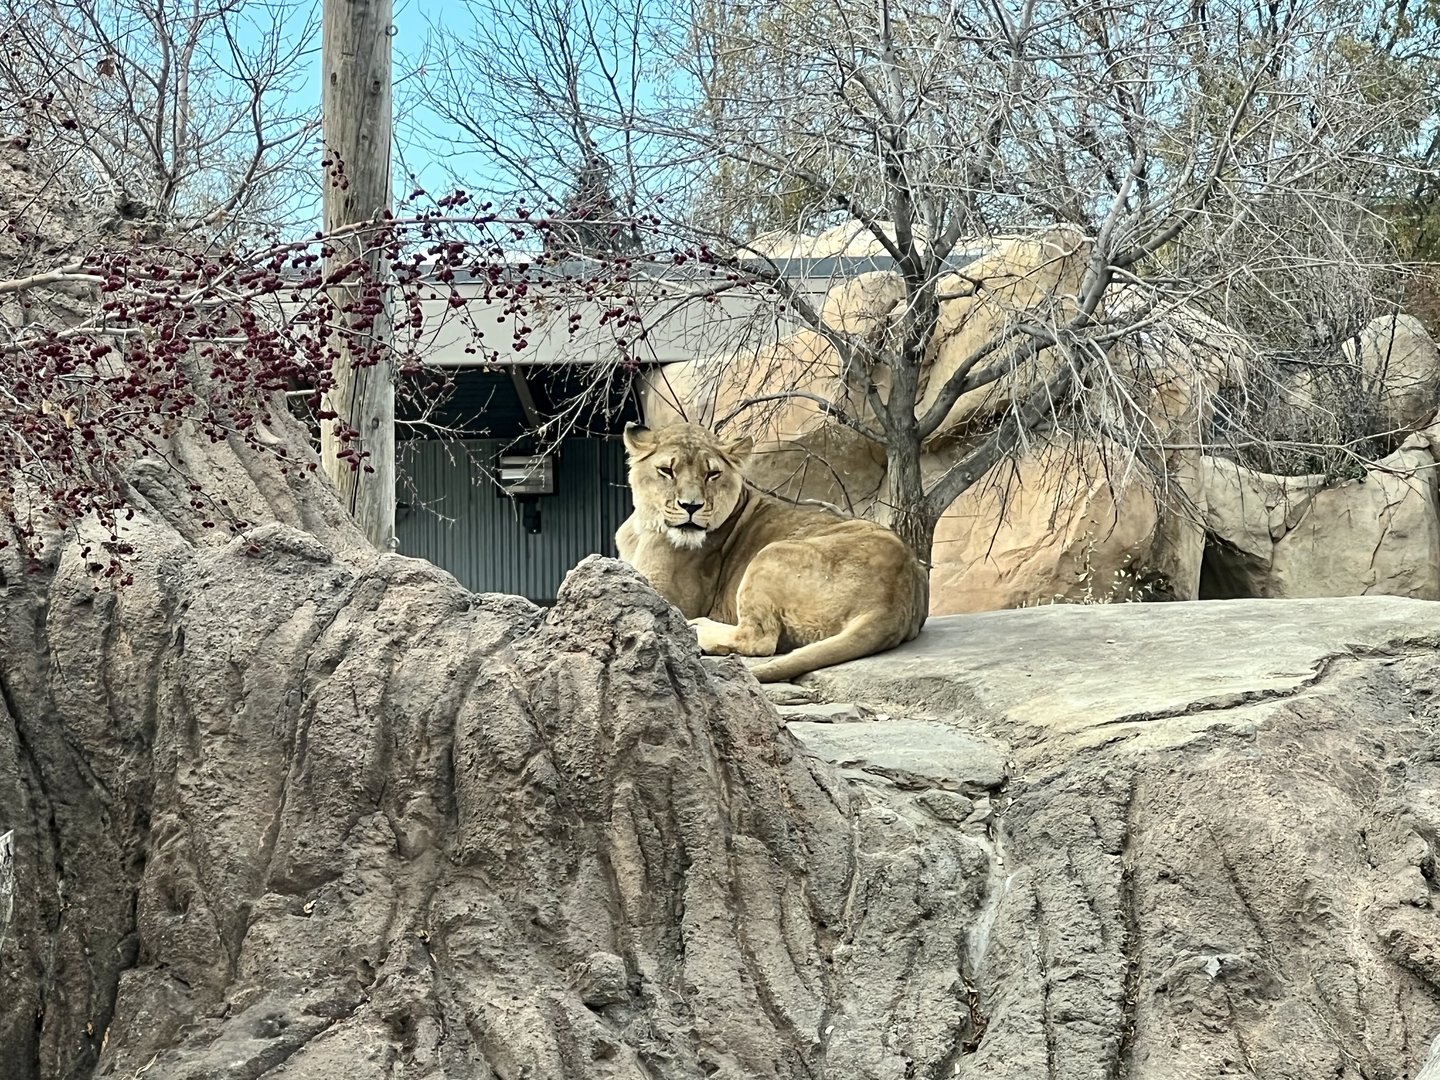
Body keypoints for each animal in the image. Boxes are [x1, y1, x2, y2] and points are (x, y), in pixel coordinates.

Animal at [615, 421, 928, 683]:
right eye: (667, 471)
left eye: (712, 473)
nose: (691, 506)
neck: (643, 527)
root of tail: (894, 601)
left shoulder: (667, 594)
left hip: (769, 554)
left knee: (758, 639)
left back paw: (698, 628)